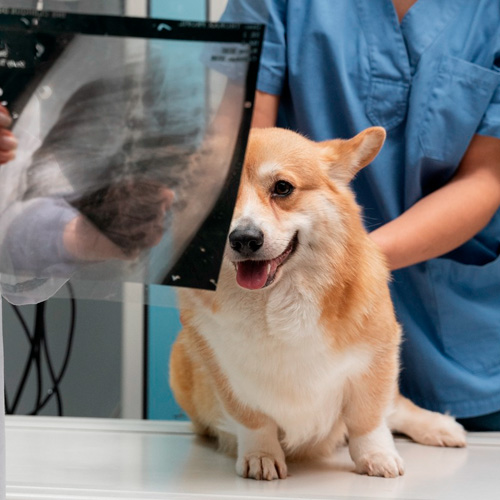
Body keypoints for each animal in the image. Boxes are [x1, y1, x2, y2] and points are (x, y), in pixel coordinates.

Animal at [170, 128, 466, 480]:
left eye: (282, 188)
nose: (244, 239)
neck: (277, 302)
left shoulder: (376, 357)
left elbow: (368, 419)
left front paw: (377, 456)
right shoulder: (225, 372)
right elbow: (254, 421)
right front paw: (261, 456)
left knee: (395, 407)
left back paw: (440, 427)